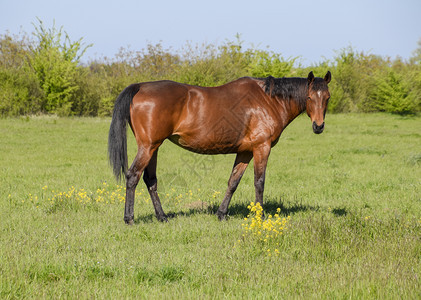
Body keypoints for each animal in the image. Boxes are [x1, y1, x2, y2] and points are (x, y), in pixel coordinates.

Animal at [106, 71, 330, 224]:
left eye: (327, 98)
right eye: (310, 97)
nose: (318, 126)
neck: (268, 100)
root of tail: (140, 86)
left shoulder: (245, 151)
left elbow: (233, 182)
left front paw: (221, 214)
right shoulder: (262, 147)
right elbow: (259, 182)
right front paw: (260, 215)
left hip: (154, 148)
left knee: (150, 180)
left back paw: (162, 216)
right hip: (148, 147)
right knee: (133, 176)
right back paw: (129, 218)